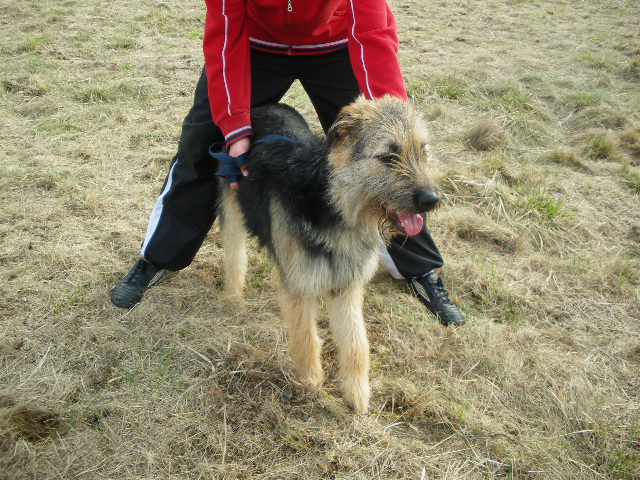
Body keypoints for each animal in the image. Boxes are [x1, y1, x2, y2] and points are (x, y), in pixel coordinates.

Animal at [215, 94, 440, 412]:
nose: (432, 200)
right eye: (388, 156)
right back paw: (233, 298)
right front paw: (310, 383)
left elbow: (357, 342)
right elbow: (305, 336)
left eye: (422, 151)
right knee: (235, 254)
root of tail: (265, 105)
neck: (334, 207)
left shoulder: (347, 286)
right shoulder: (300, 286)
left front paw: (357, 394)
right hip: (232, 203)